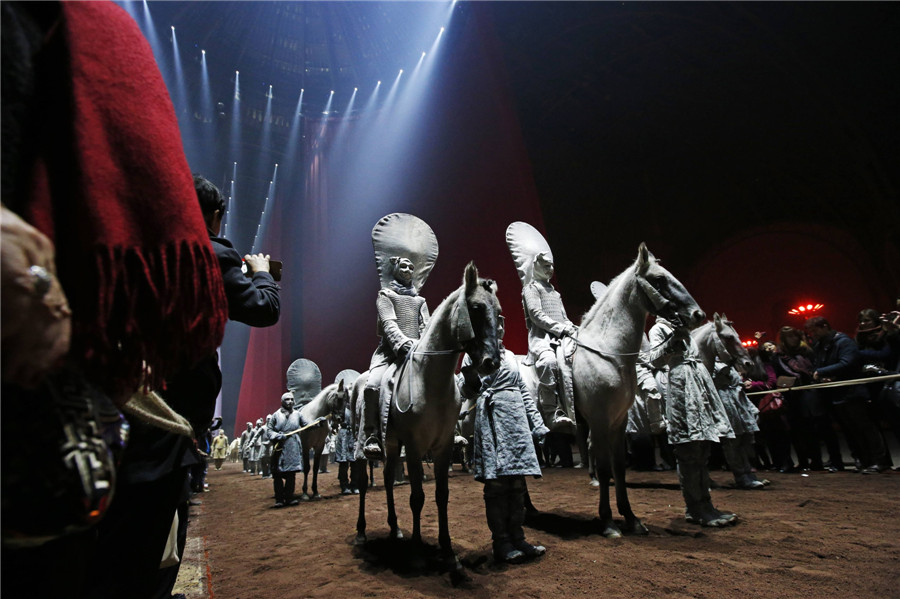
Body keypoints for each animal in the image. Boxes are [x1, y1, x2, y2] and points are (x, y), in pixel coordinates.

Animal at [352, 264, 506, 568]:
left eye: (498, 311)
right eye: (476, 307)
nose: (491, 362)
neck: (430, 379)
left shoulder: (443, 446)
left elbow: (441, 495)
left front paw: (447, 551)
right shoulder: (414, 448)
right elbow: (417, 497)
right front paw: (416, 553)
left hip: (392, 445)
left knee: (387, 479)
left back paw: (395, 529)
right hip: (367, 444)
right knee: (363, 483)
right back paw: (362, 532)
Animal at [572, 244, 708, 540]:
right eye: (659, 279)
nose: (698, 315)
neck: (607, 353)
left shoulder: (618, 422)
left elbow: (619, 467)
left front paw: (632, 519)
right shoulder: (599, 421)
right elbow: (604, 467)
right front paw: (608, 523)